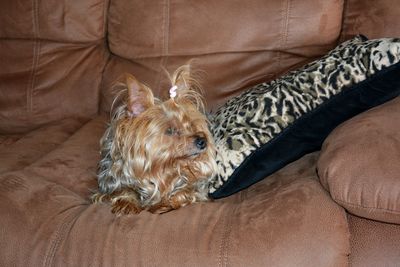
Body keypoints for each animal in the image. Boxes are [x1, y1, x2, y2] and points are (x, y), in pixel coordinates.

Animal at [92, 65, 217, 216]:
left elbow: (186, 192)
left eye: (191, 125)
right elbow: (123, 189)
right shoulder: (111, 179)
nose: (202, 141)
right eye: (170, 130)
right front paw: (127, 203)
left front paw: (164, 203)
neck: (163, 169)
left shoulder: (196, 188)